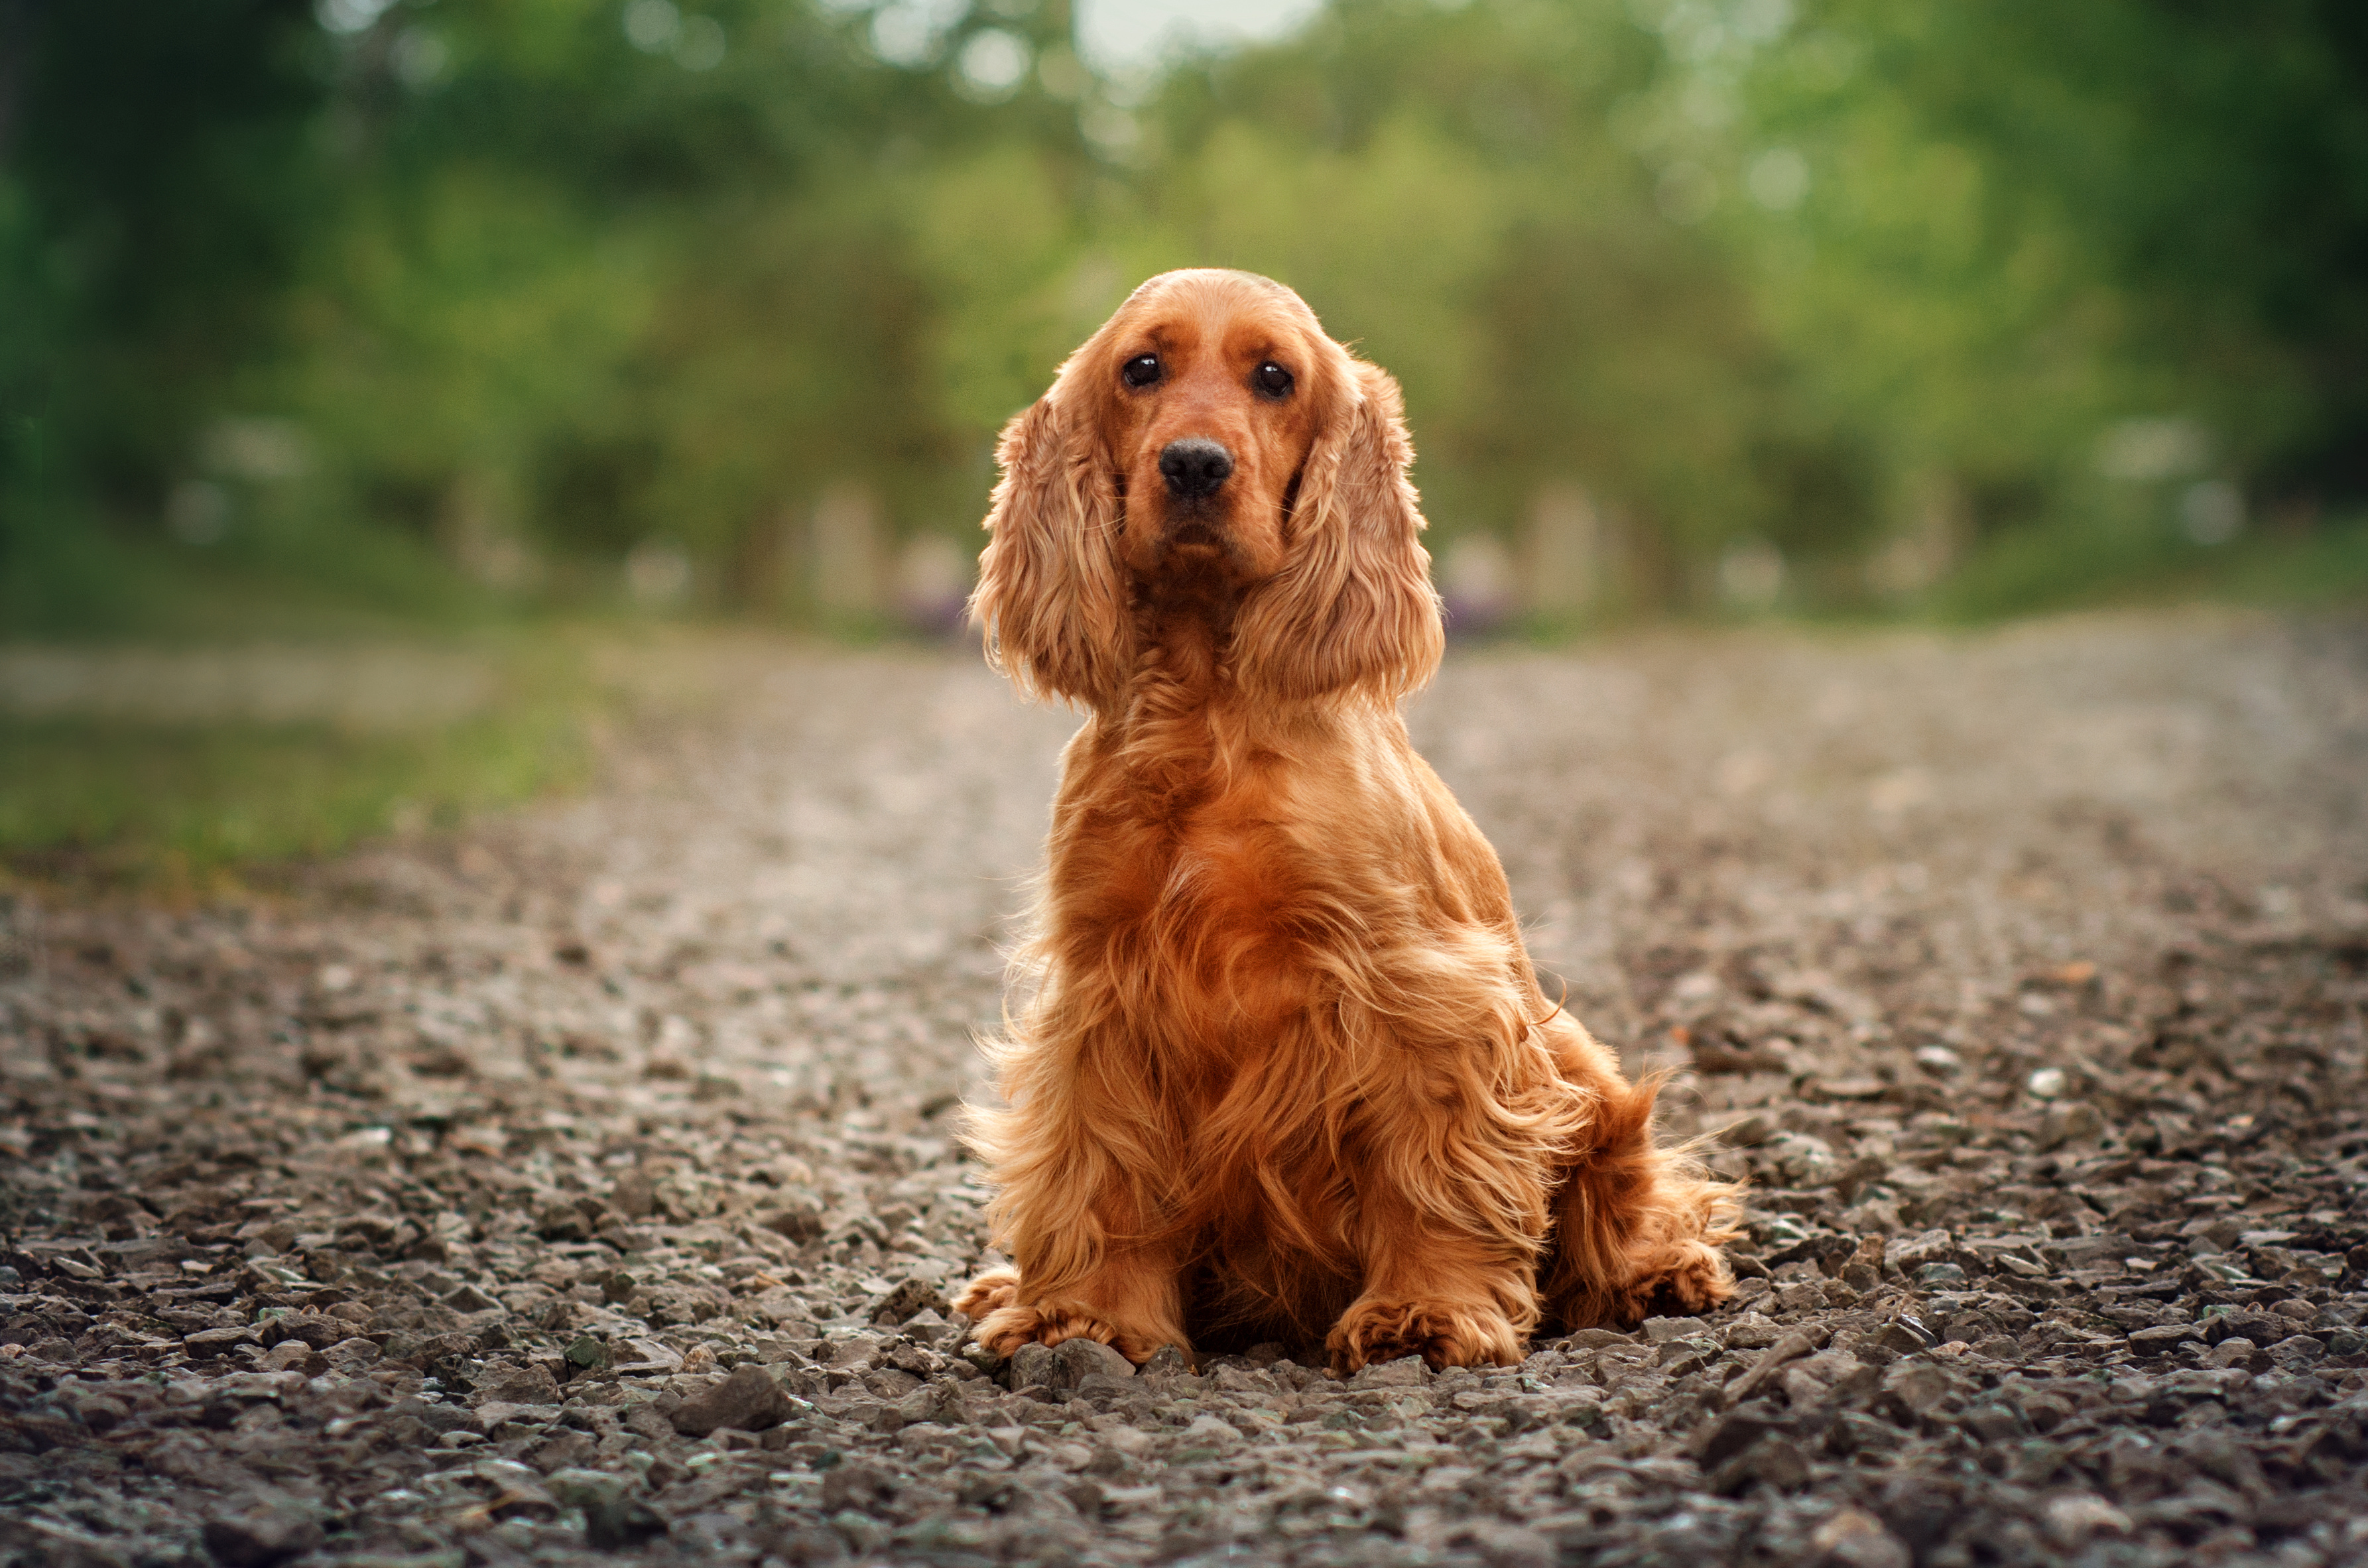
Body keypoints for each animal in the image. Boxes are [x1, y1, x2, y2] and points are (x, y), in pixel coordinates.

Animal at [947, 264, 1743, 1374]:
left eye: (1274, 377)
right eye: (1140, 369)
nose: (1192, 465)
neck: (1206, 710)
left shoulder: (1416, 987)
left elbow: (1432, 1167)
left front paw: (1425, 1310)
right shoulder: (1102, 991)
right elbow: (1097, 1167)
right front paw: (1086, 1317)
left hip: (1581, 1060)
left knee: (1633, 1199)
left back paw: (1657, 1274)